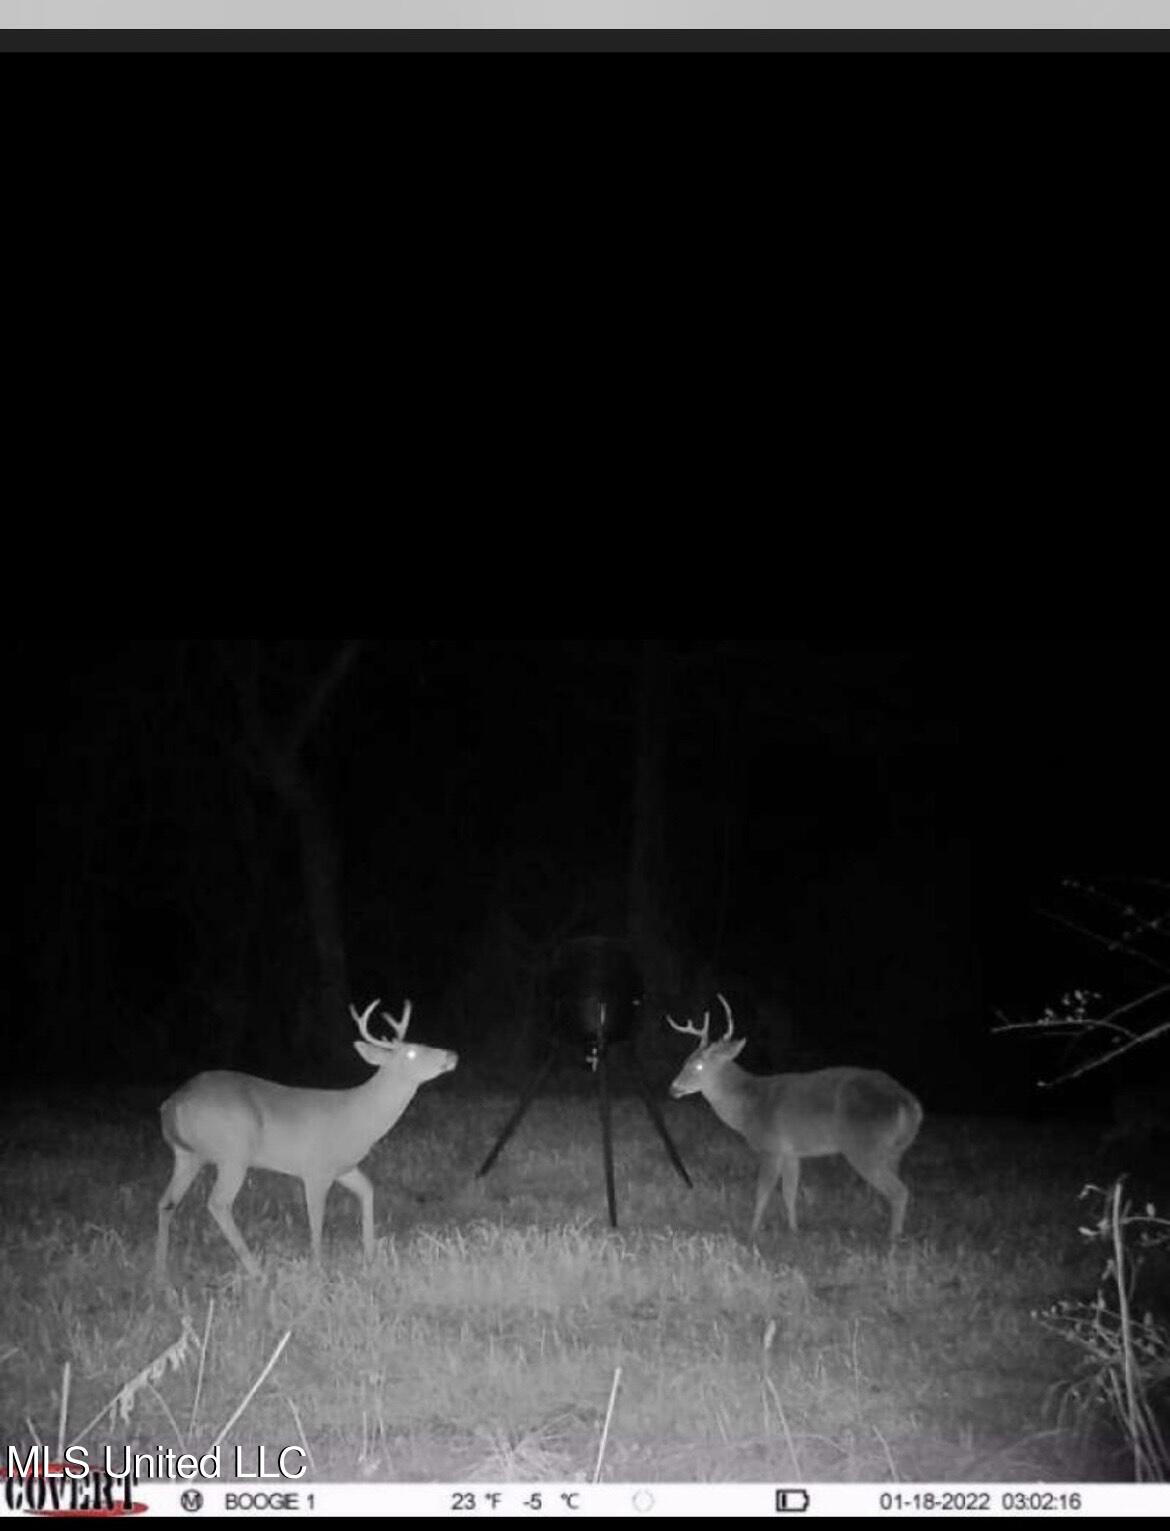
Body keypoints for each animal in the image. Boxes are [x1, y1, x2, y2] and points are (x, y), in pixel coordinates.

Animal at [155, 998, 458, 1280]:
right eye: (411, 1052)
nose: (452, 1054)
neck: (358, 1116)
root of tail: (173, 1104)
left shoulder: (344, 1167)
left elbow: (368, 1190)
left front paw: (370, 1257)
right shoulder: (315, 1169)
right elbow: (316, 1218)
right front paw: (318, 1267)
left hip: (188, 1155)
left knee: (166, 1202)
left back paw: (160, 1273)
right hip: (233, 1153)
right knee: (218, 1203)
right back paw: (255, 1271)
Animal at [667, 995, 923, 1242]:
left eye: (698, 1065)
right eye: (685, 1061)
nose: (673, 1089)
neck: (748, 1107)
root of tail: (909, 1103)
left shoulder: (770, 1147)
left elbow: (762, 1192)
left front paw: (751, 1232)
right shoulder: (791, 1151)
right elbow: (789, 1192)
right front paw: (794, 1230)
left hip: (864, 1146)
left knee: (899, 1191)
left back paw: (892, 1239)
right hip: (894, 1151)